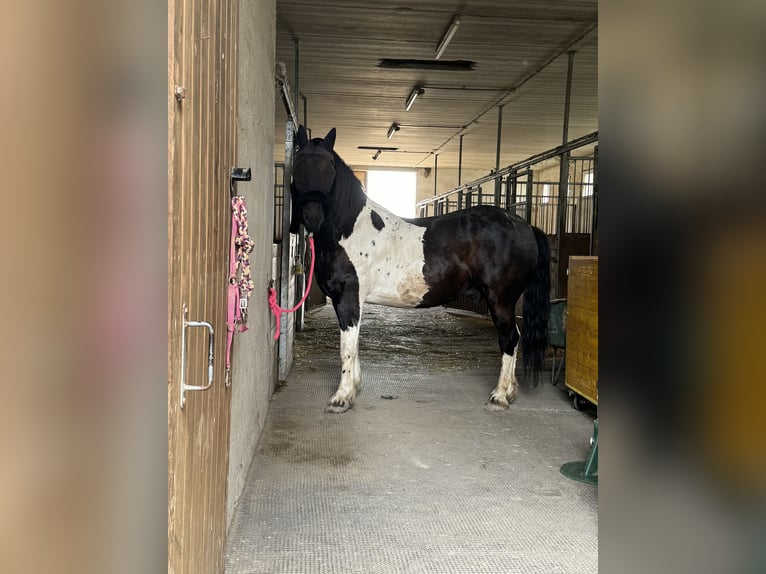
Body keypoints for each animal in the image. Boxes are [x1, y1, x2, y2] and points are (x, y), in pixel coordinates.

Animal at [290, 126, 552, 414]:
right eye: (298, 164)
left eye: (329, 167)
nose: (313, 216)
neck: (349, 228)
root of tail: (524, 225)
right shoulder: (349, 300)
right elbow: (354, 344)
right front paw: (355, 389)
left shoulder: (348, 296)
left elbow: (346, 347)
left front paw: (341, 397)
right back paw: (510, 392)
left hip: (501, 300)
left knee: (509, 339)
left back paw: (500, 396)